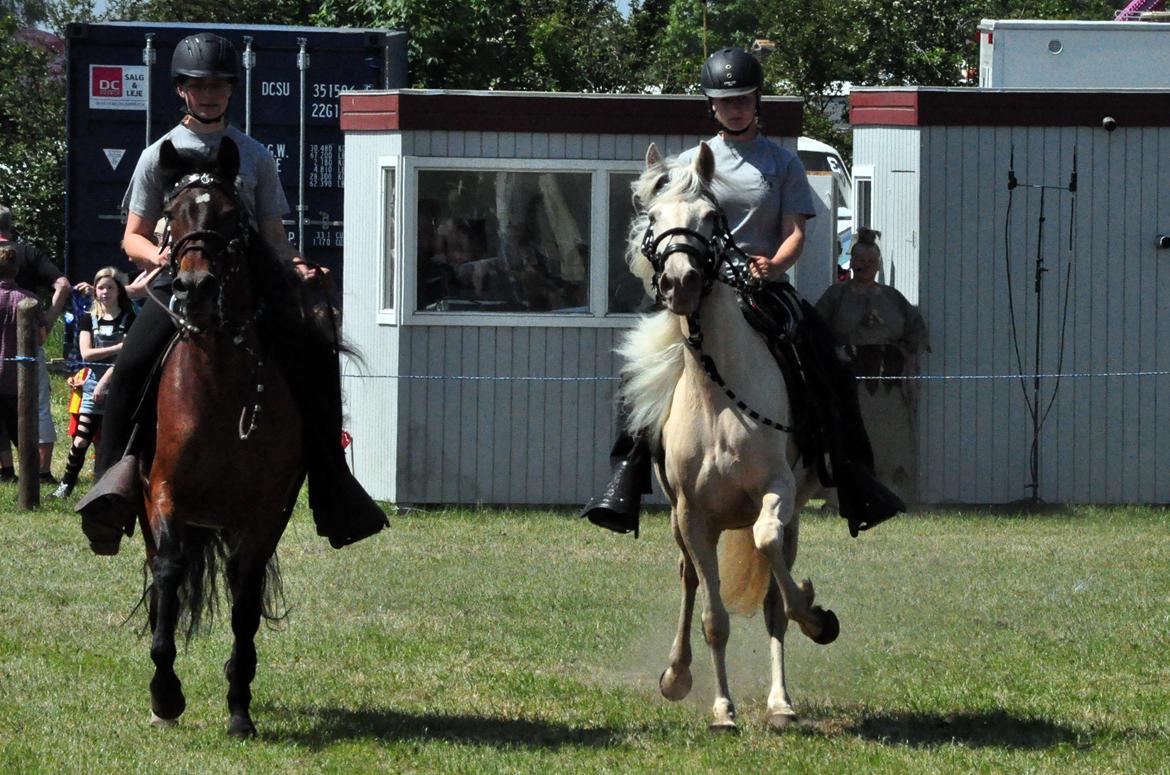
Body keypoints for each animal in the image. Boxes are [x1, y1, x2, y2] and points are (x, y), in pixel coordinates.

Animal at [140, 136, 306, 739]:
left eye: (234, 218)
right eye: (172, 215)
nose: (195, 289)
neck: (218, 381)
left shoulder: (261, 514)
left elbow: (244, 597)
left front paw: (239, 707)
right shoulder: (164, 493)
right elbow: (168, 572)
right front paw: (166, 693)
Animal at [627, 143, 837, 735]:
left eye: (708, 218)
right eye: (654, 218)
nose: (680, 281)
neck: (718, 399)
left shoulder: (777, 492)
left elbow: (773, 575)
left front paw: (815, 617)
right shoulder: (693, 518)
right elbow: (713, 617)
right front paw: (722, 710)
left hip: (788, 514)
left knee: (772, 587)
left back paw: (781, 700)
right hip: (685, 528)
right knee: (689, 582)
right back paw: (677, 675)